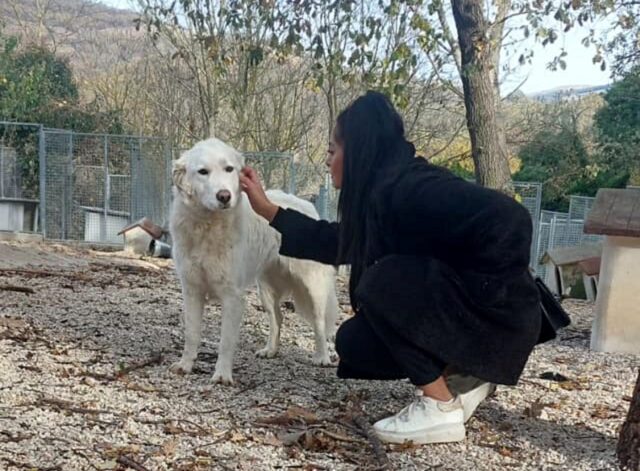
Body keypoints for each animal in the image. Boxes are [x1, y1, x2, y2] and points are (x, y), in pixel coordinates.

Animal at [169, 138, 340, 386]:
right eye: (203, 172)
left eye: (229, 169)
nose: (224, 196)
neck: (208, 225)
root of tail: (305, 204)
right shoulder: (191, 290)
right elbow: (191, 333)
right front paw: (185, 365)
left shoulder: (233, 296)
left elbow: (225, 341)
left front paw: (222, 375)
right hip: (265, 288)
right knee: (277, 317)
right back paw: (271, 350)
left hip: (313, 288)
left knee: (319, 323)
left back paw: (322, 357)